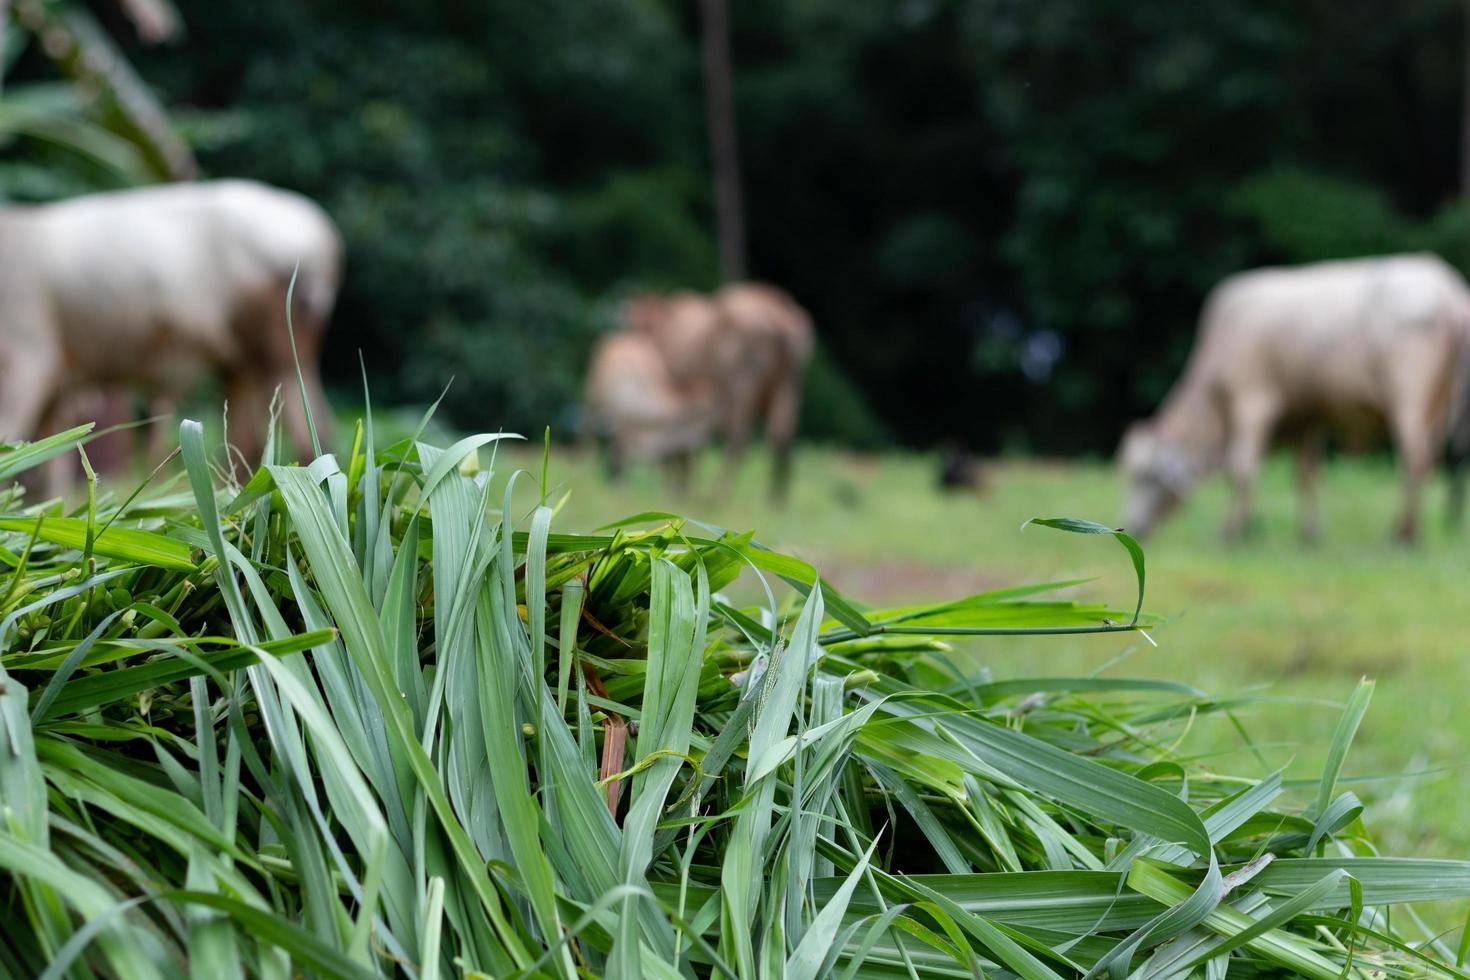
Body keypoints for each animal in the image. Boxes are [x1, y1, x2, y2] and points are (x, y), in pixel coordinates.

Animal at [1117, 252, 1470, 543]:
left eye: (1144, 477)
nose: (1132, 528)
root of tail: (1450, 293)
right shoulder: (1306, 415)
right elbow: (1306, 473)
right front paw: (1309, 533)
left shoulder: (1252, 400)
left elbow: (1241, 468)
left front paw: (1234, 531)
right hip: (1440, 402)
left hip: (1410, 396)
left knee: (1415, 459)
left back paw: (1405, 533)